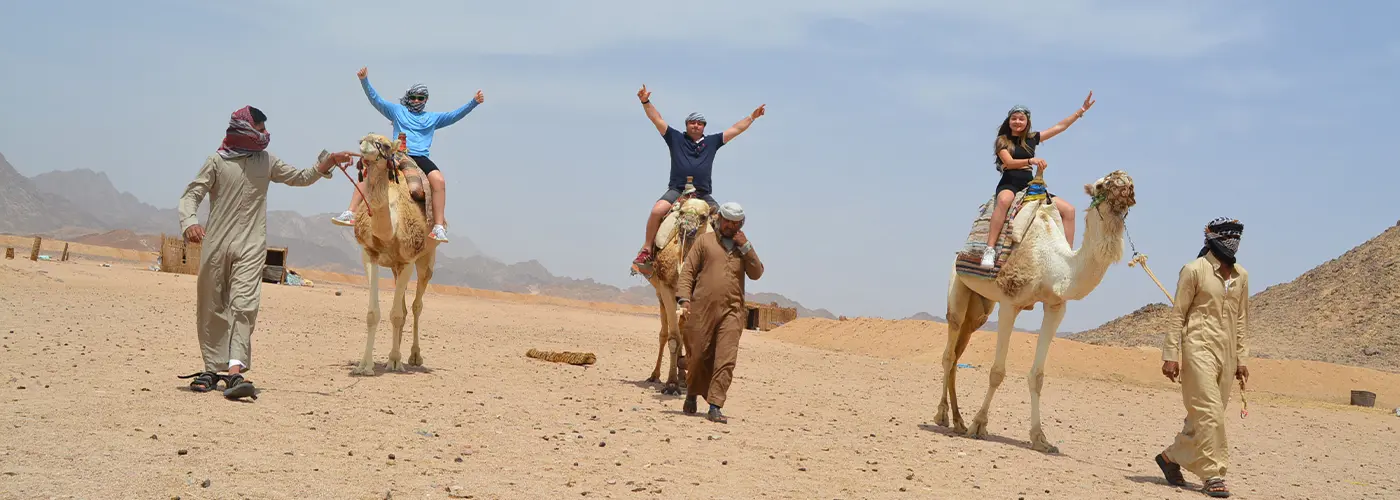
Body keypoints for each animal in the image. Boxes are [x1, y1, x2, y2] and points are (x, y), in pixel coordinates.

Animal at [348, 132, 436, 375]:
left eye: (386, 145)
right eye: (362, 138)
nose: (365, 145)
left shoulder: (408, 259)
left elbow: (396, 315)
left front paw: (395, 361)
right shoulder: (370, 254)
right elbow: (373, 314)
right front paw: (365, 365)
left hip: (426, 259)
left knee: (416, 306)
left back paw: (413, 357)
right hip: (396, 268)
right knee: (405, 308)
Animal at [641, 179, 716, 392]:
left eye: (704, 216)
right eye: (681, 212)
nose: (686, 227)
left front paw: (682, 380)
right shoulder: (666, 288)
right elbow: (674, 337)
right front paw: (671, 383)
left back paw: (683, 378)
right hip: (660, 294)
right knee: (665, 333)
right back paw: (656, 376)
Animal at [929, 168, 1136, 450]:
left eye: (1127, 181)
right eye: (1102, 184)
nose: (1126, 185)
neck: (1055, 264)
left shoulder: (1055, 307)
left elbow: (1037, 376)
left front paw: (1040, 438)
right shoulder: (1010, 303)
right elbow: (997, 372)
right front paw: (979, 424)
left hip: (980, 311)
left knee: (960, 350)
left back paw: (958, 421)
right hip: (958, 290)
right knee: (950, 351)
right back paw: (942, 416)